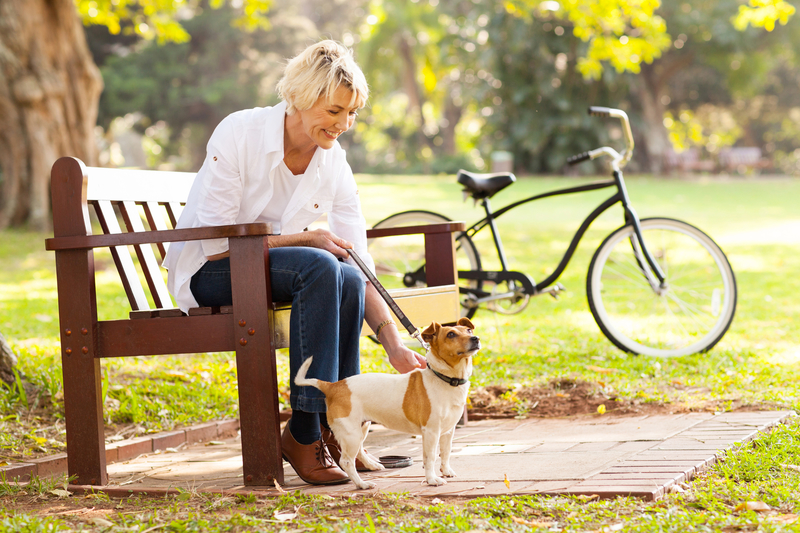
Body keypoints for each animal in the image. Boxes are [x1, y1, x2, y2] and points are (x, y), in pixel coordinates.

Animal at [296, 318, 478, 488]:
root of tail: (333, 386)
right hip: (351, 434)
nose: (475, 338)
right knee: (346, 461)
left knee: (358, 451)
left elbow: (446, 452)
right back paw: (362, 484)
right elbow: (430, 457)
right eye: (451, 334)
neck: (445, 379)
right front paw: (432, 479)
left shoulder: (448, 431)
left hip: (360, 428)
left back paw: (371, 465)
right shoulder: (431, 431)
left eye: (468, 330)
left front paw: (446, 471)